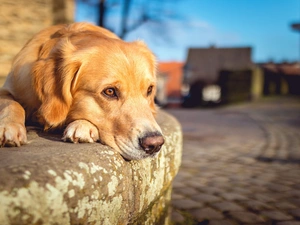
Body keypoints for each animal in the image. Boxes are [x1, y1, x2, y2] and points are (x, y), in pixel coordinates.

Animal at [0, 22, 164, 160]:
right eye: (110, 91)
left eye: (149, 89)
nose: (155, 144)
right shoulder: (9, 89)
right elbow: (12, 104)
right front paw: (9, 126)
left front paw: (83, 125)